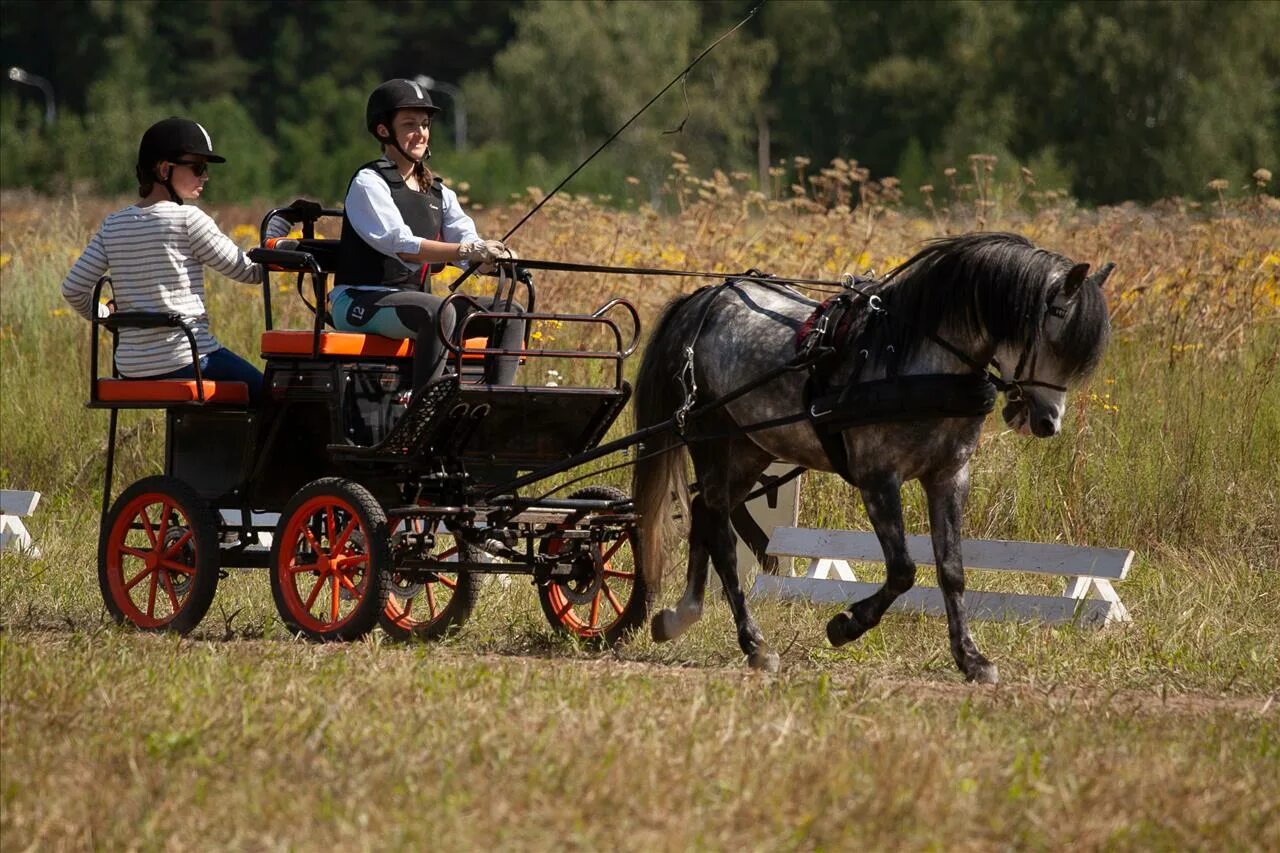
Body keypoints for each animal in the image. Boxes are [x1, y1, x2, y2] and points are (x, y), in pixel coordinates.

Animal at [634, 230, 1116, 676]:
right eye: (1049, 333)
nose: (1047, 422)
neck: (917, 362)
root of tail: (703, 300)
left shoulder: (949, 476)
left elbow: (952, 570)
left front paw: (971, 658)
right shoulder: (877, 477)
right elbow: (902, 568)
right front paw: (846, 624)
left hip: (751, 450)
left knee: (705, 512)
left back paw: (681, 616)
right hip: (711, 440)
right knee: (719, 530)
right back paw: (753, 643)